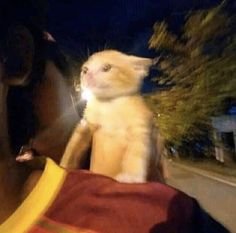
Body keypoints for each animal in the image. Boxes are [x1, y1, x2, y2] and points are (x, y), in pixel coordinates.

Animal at [60, 50, 164, 183]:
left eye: (107, 68)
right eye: (85, 69)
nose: (86, 73)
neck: (109, 106)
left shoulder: (140, 126)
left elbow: (137, 150)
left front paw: (130, 176)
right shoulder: (86, 123)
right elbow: (74, 144)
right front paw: (64, 165)